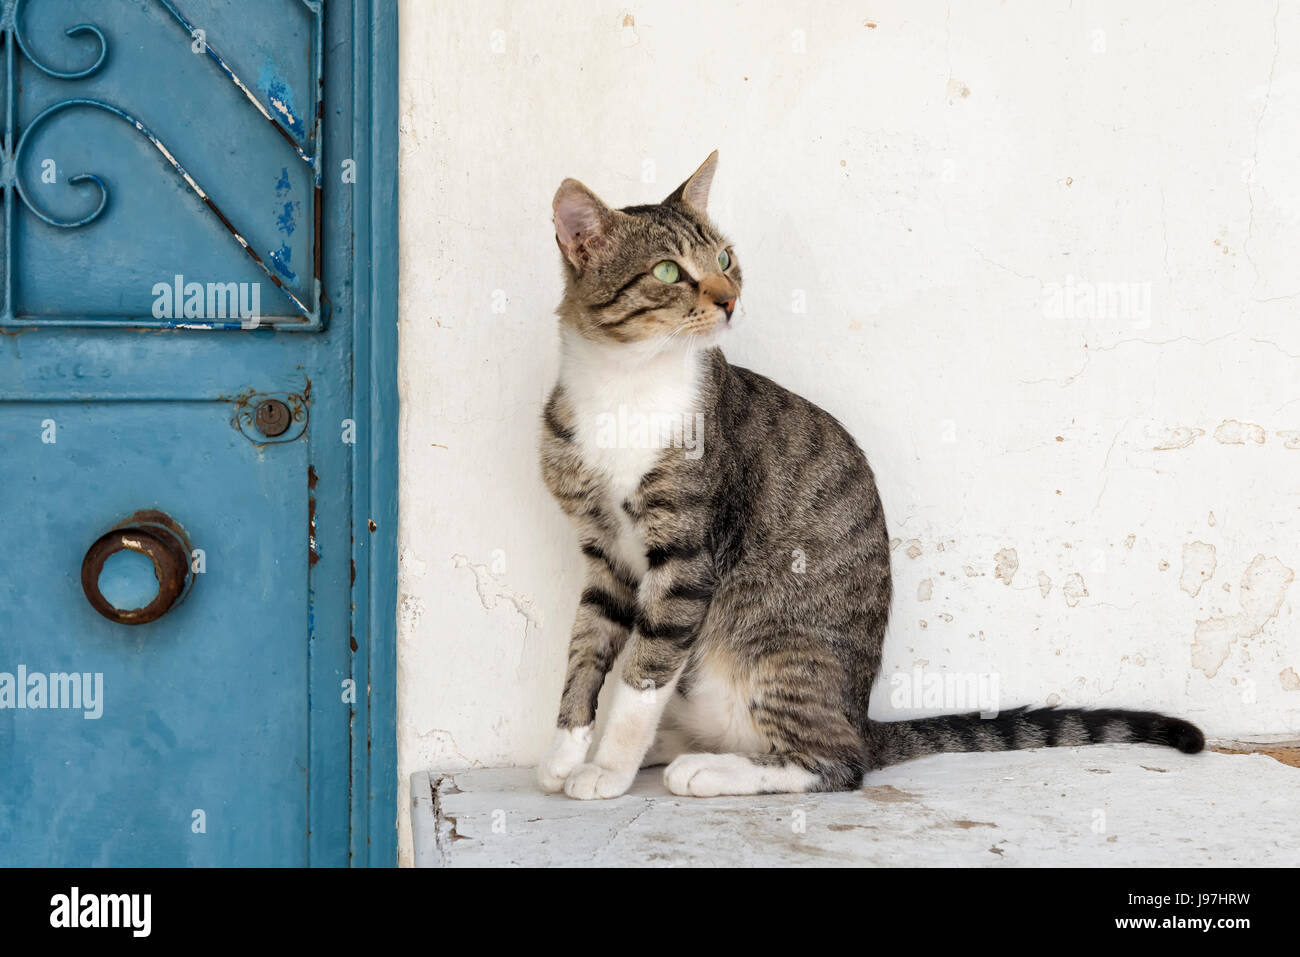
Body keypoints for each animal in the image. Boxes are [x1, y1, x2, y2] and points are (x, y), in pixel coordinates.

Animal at [533, 151, 1201, 800]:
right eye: (670, 272)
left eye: (723, 258)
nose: (728, 299)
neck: (625, 386)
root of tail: (861, 715)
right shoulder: (603, 555)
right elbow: (583, 654)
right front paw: (565, 755)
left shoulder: (687, 556)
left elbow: (642, 673)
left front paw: (608, 769)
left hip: (776, 650)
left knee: (837, 764)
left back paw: (708, 770)